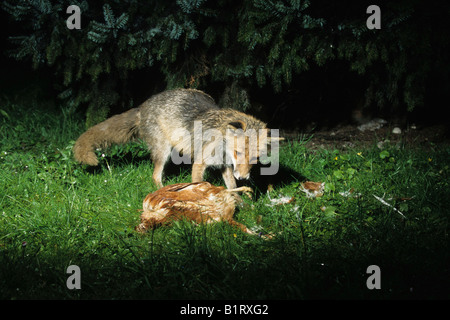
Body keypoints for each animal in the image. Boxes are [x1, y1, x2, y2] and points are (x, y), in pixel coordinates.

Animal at [74, 87, 284, 189]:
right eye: (238, 152)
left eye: (255, 159)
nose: (243, 177)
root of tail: (143, 106)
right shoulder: (200, 163)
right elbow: (199, 183)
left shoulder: (225, 166)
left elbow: (232, 187)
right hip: (164, 151)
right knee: (155, 176)